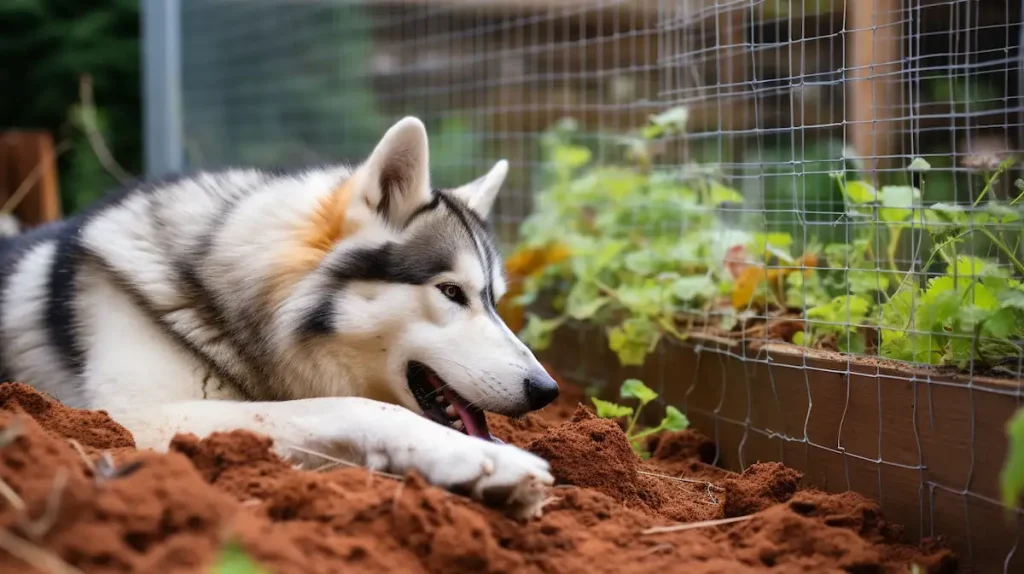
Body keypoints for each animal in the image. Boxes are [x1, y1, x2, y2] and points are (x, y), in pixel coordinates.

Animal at [0, 116, 561, 515]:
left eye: (494, 299)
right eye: (450, 291)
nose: (547, 391)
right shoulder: (129, 417)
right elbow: (351, 407)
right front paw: (486, 461)